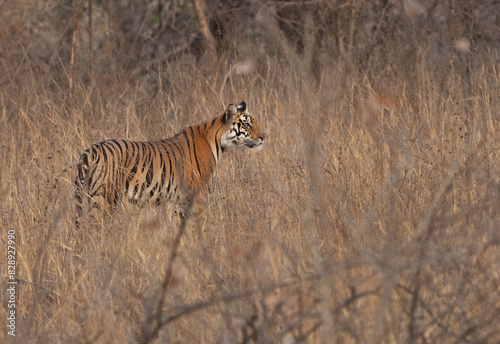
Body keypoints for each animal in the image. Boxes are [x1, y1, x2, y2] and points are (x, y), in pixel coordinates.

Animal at [74, 101, 266, 226]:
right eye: (247, 124)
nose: (264, 137)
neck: (218, 141)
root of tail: (90, 151)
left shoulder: (179, 200)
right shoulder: (199, 195)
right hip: (104, 198)